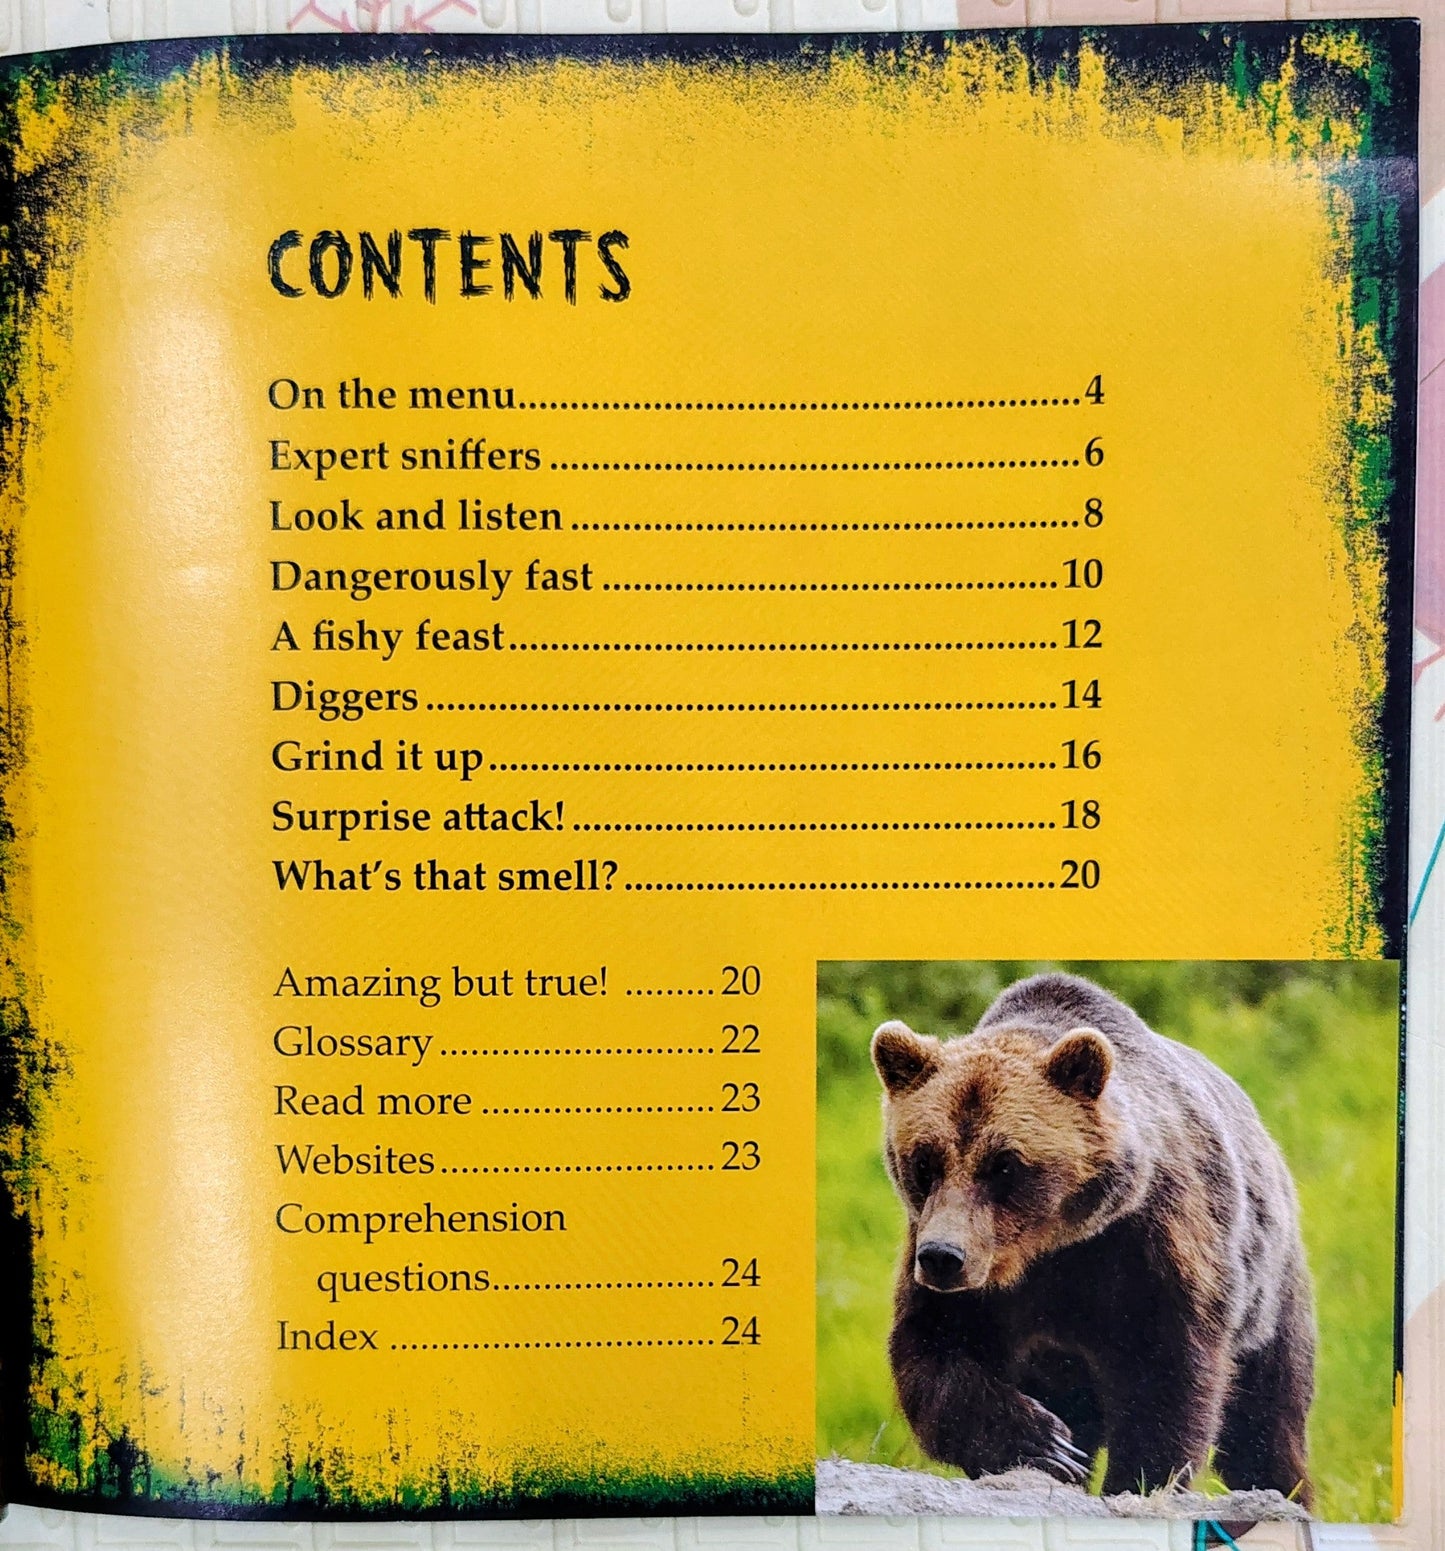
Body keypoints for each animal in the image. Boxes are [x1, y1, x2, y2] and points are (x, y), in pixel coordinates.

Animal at [871, 971, 1315, 1502]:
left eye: (1005, 1165)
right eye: (924, 1161)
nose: (943, 1257)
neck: (1050, 1248)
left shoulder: (1152, 1244)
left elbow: (1165, 1375)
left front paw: (1138, 1480)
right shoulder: (957, 1265)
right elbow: (936, 1351)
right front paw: (1046, 1445)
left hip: (1270, 1298)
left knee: (1267, 1420)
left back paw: (1283, 1489)